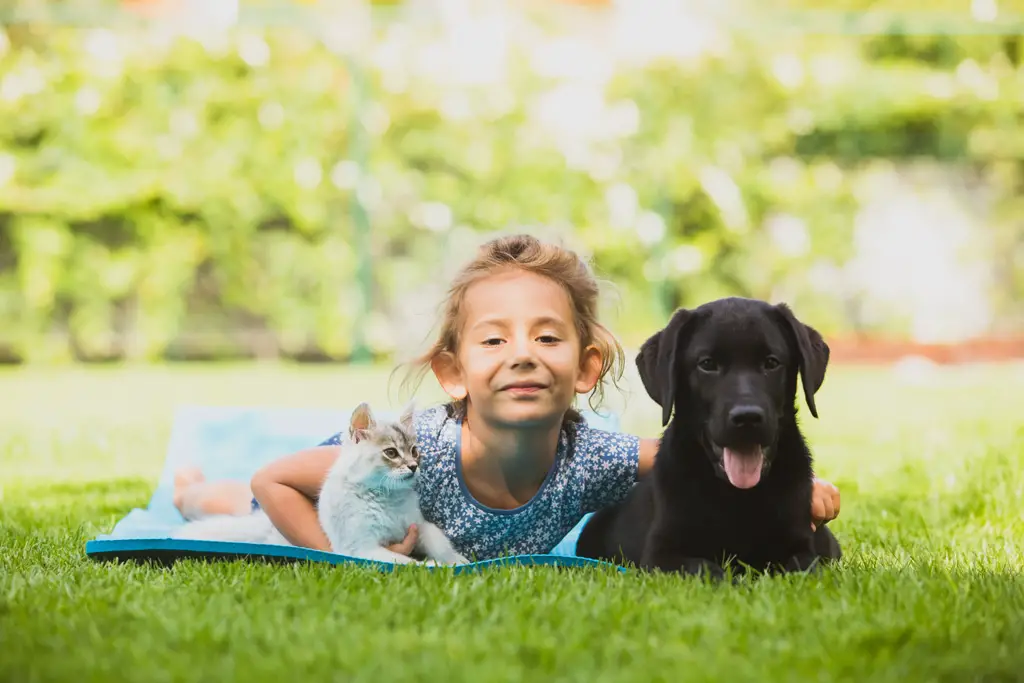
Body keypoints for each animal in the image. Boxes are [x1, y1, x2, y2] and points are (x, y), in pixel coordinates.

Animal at [172, 401, 468, 565]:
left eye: (415, 451)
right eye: (391, 453)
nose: (414, 466)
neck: (385, 497)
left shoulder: (420, 525)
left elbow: (439, 542)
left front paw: (457, 560)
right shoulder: (362, 548)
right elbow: (405, 562)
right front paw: (432, 567)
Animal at [577, 296, 839, 581]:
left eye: (771, 363)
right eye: (707, 364)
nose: (747, 417)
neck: (737, 497)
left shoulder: (801, 547)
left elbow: (801, 567)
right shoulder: (660, 555)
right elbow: (706, 569)